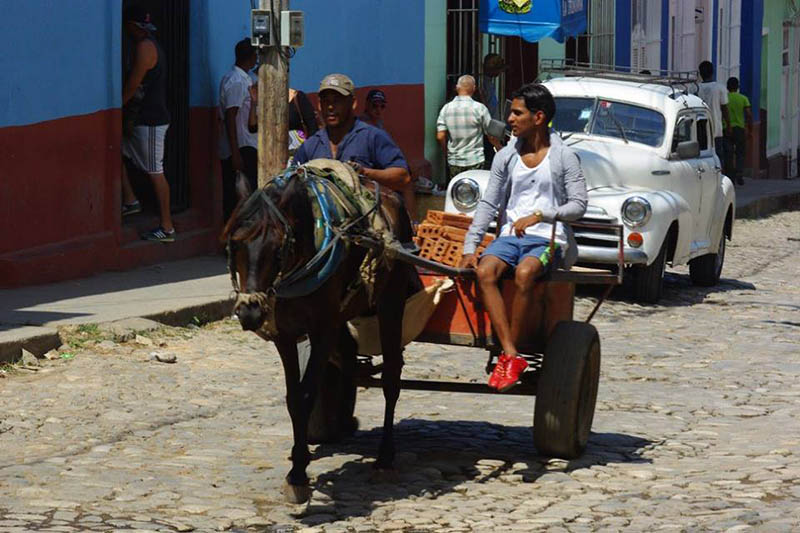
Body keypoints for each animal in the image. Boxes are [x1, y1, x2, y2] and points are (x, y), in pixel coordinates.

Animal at [220, 163, 418, 502]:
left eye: (278, 249)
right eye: (235, 244)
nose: (249, 312)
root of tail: (392, 197)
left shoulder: (323, 328)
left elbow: (305, 395)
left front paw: (299, 475)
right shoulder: (285, 334)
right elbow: (292, 398)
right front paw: (299, 460)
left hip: (390, 303)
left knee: (392, 377)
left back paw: (384, 458)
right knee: (349, 359)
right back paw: (344, 421)